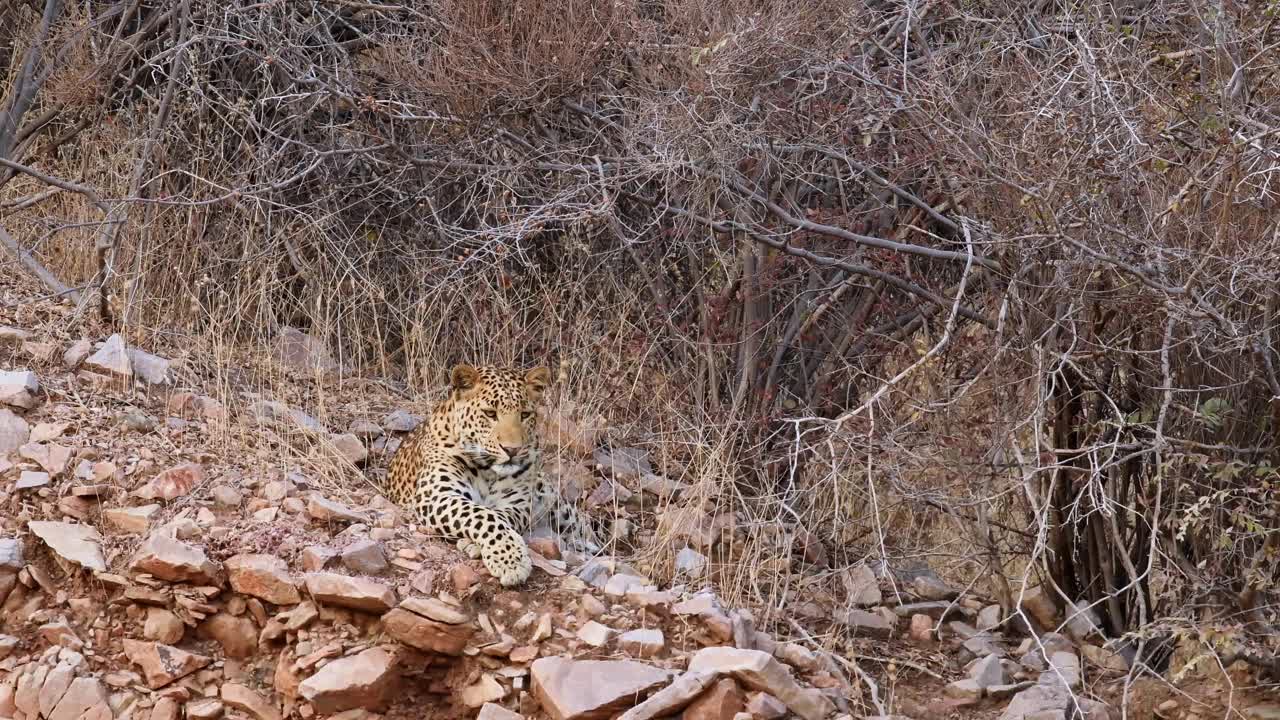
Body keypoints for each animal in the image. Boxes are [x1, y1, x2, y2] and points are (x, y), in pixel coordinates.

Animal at [378, 361, 599, 586]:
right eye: (490, 414)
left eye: (525, 415)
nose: (512, 450)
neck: (487, 471)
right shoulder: (437, 494)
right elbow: (483, 515)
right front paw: (510, 560)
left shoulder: (518, 503)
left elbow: (497, 515)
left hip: (562, 509)